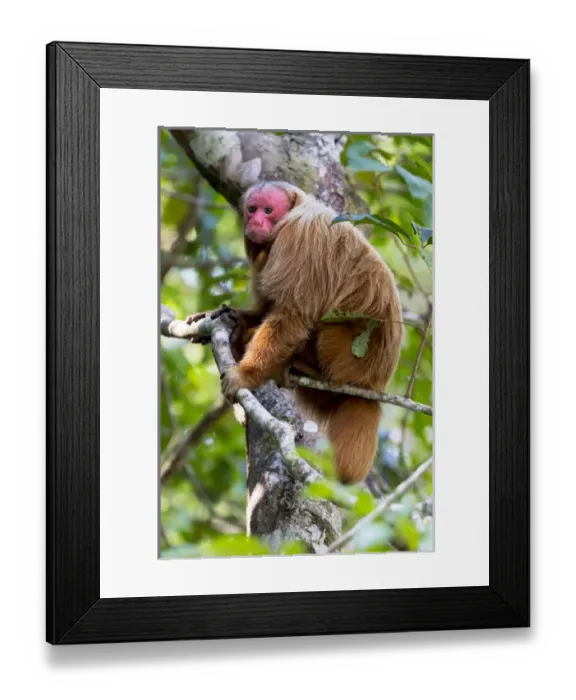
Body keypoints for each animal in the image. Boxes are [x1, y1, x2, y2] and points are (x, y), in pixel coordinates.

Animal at [189, 180, 403, 485]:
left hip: (351, 361)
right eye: (252, 209)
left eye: (268, 210)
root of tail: (374, 386)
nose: (255, 221)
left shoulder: (300, 238)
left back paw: (305, 368)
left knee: (327, 322)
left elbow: (294, 315)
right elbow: (267, 306)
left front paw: (246, 375)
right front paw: (225, 316)